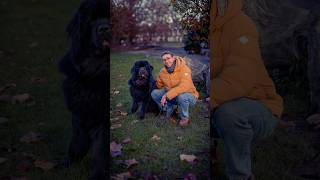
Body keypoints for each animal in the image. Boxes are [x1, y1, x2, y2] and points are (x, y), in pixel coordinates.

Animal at [59, 0, 110, 179]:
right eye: (91, 20)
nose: (104, 29)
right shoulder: (79, 111)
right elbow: (78, 142)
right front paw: (66, 164)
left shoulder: (103, 119)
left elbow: (101, 150)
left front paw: (98, 175)